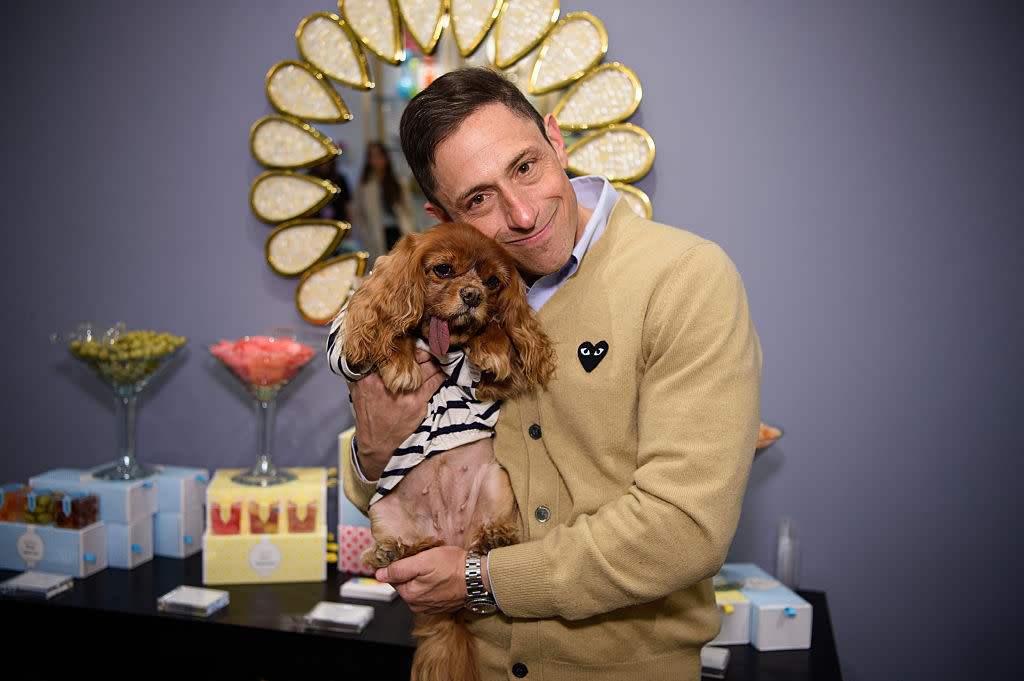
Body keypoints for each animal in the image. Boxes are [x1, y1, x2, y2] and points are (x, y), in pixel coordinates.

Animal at [329, 223, 557, 679]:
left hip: (495, 483)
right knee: (402, 554)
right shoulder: (350, 351)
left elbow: (497, 338)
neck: (446, 342)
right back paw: (392, 550)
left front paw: (490, 345)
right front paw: (400, 361)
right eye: (443, 270)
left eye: (492, 283)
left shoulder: (494, 389)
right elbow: (388, 330)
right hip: (384, 513)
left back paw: (493, 539)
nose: (472, 295)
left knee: (485, 538)